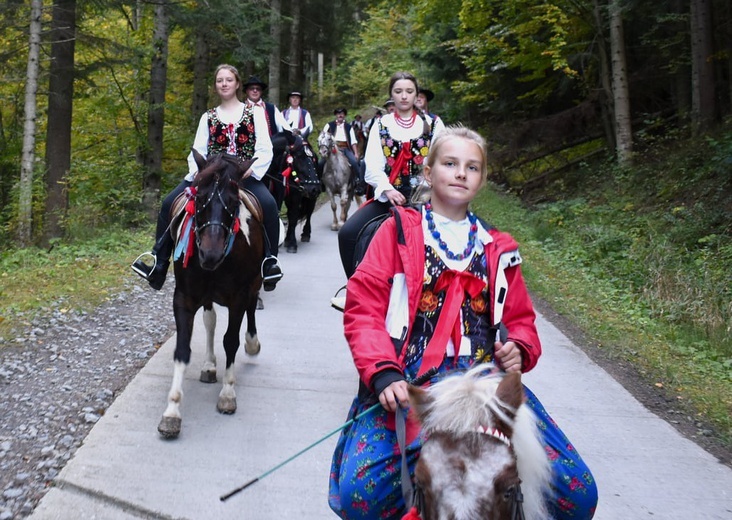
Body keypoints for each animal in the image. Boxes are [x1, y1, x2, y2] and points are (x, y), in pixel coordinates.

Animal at [157, 151, 266, 438]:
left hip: (254, 283)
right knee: (210, 322)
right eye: (200, 198)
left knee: (252, 307)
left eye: (233, 201)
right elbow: (183, 348)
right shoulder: (184, 298)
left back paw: (252, 343)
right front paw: (172, 411)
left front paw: (227, 394)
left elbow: (231, 341)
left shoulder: (238, 297)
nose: (210, 254)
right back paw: (208, 365)